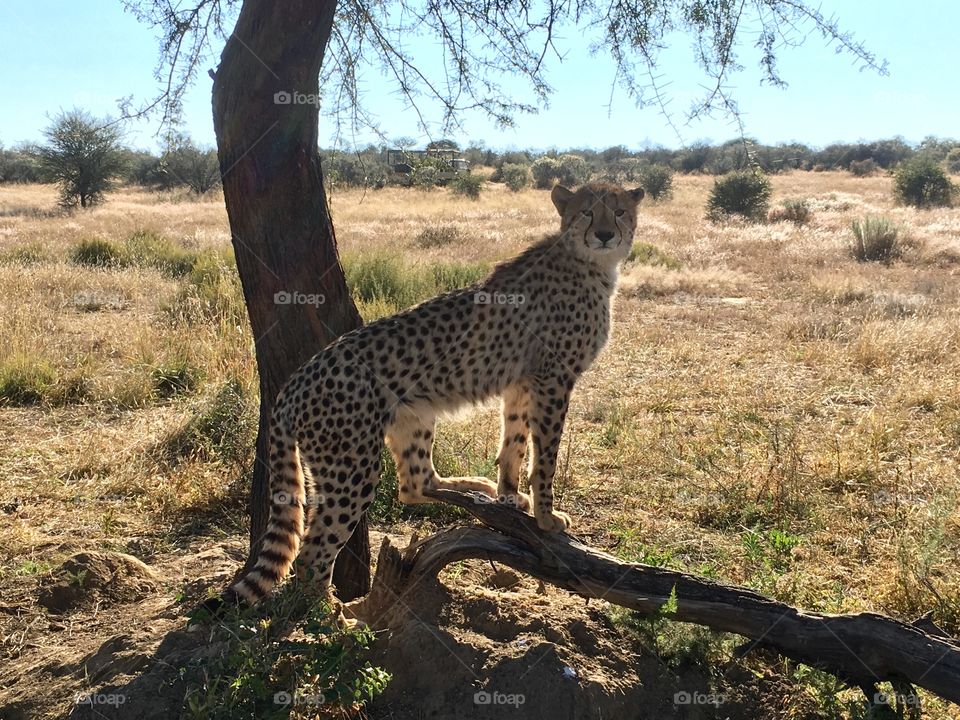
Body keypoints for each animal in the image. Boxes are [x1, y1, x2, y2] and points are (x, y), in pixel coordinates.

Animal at [213, 181, 645, 610]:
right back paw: (334, 617)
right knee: (313, 553)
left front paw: (511, 496)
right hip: (351, 466)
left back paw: (470, 486)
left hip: (414, 415)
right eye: (587, 211)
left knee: (413, 485)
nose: (605, 234)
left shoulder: (523, 382)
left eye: (619, 211)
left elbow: (515, 444)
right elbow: (546, 456)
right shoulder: (553, 379)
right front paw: (546, 517)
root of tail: (296, 380)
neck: (588, 262)